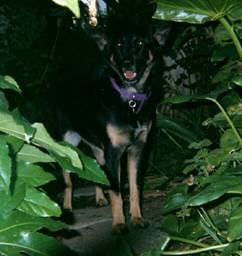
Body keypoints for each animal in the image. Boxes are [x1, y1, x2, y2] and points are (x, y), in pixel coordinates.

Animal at [47, 0, 171, 233]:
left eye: (140, 43)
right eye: (119, 45)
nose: (127, 63)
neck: (129, 99)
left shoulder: (137, 149)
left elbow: (135, 187)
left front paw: (137, 218)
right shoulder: (114, 152)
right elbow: (116, 191)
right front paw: (119, 224)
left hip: (96, 145)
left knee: (97, 169)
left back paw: (99, 198)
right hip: (66, 143)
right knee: (68, 180)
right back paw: (67, 209)